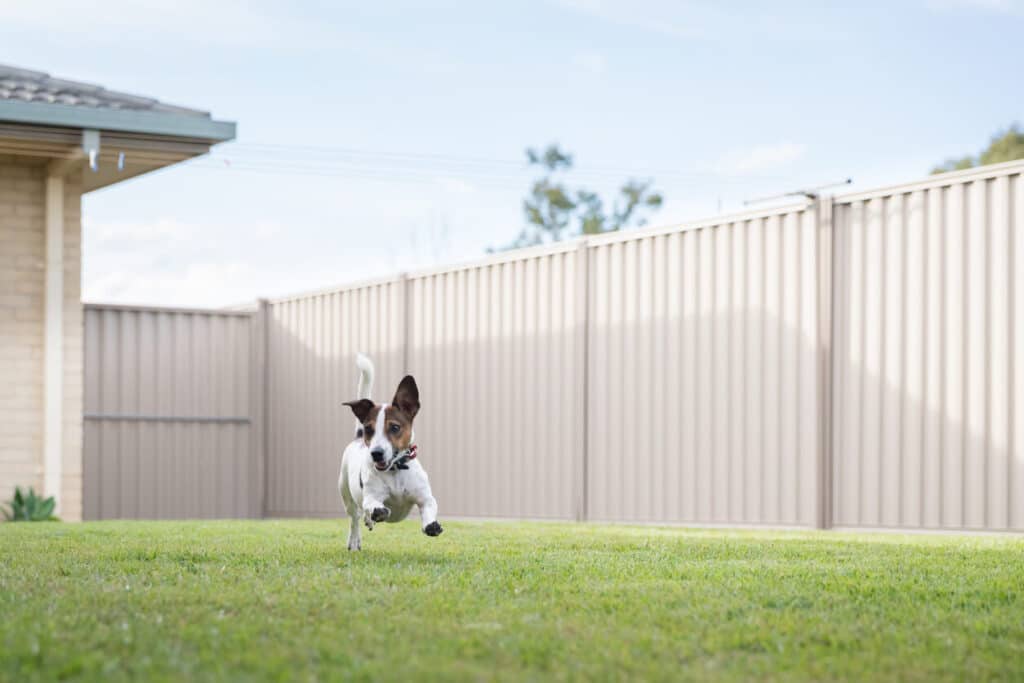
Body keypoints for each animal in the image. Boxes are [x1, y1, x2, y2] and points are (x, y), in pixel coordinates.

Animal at [337, 352, 442, 548]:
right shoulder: (371, 497)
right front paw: (377, 512)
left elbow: (429, 507)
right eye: (369, 429)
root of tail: (358, 438)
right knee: (355, 518)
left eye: (394, 427)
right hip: (346, 494)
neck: (395, 470)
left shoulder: (425, 498)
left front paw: (431, 524)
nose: (376, 453)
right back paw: (354, 541)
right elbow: (372, 505)